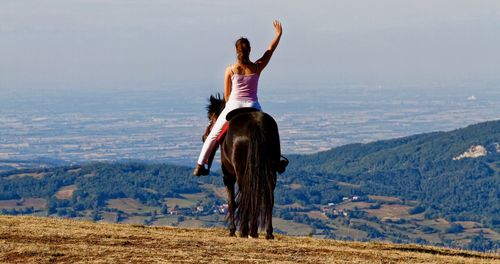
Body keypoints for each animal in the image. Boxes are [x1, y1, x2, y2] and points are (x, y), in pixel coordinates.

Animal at [201, 95, 288, 239]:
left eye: (210, 117)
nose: (204, 136)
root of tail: (256, 125)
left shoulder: (228, 176)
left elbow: (231, 201)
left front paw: (232, 230)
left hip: (242, 172)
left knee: (246, 196)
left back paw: (246, 231)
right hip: (269, 171)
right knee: (267, 197)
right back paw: (267, 232)